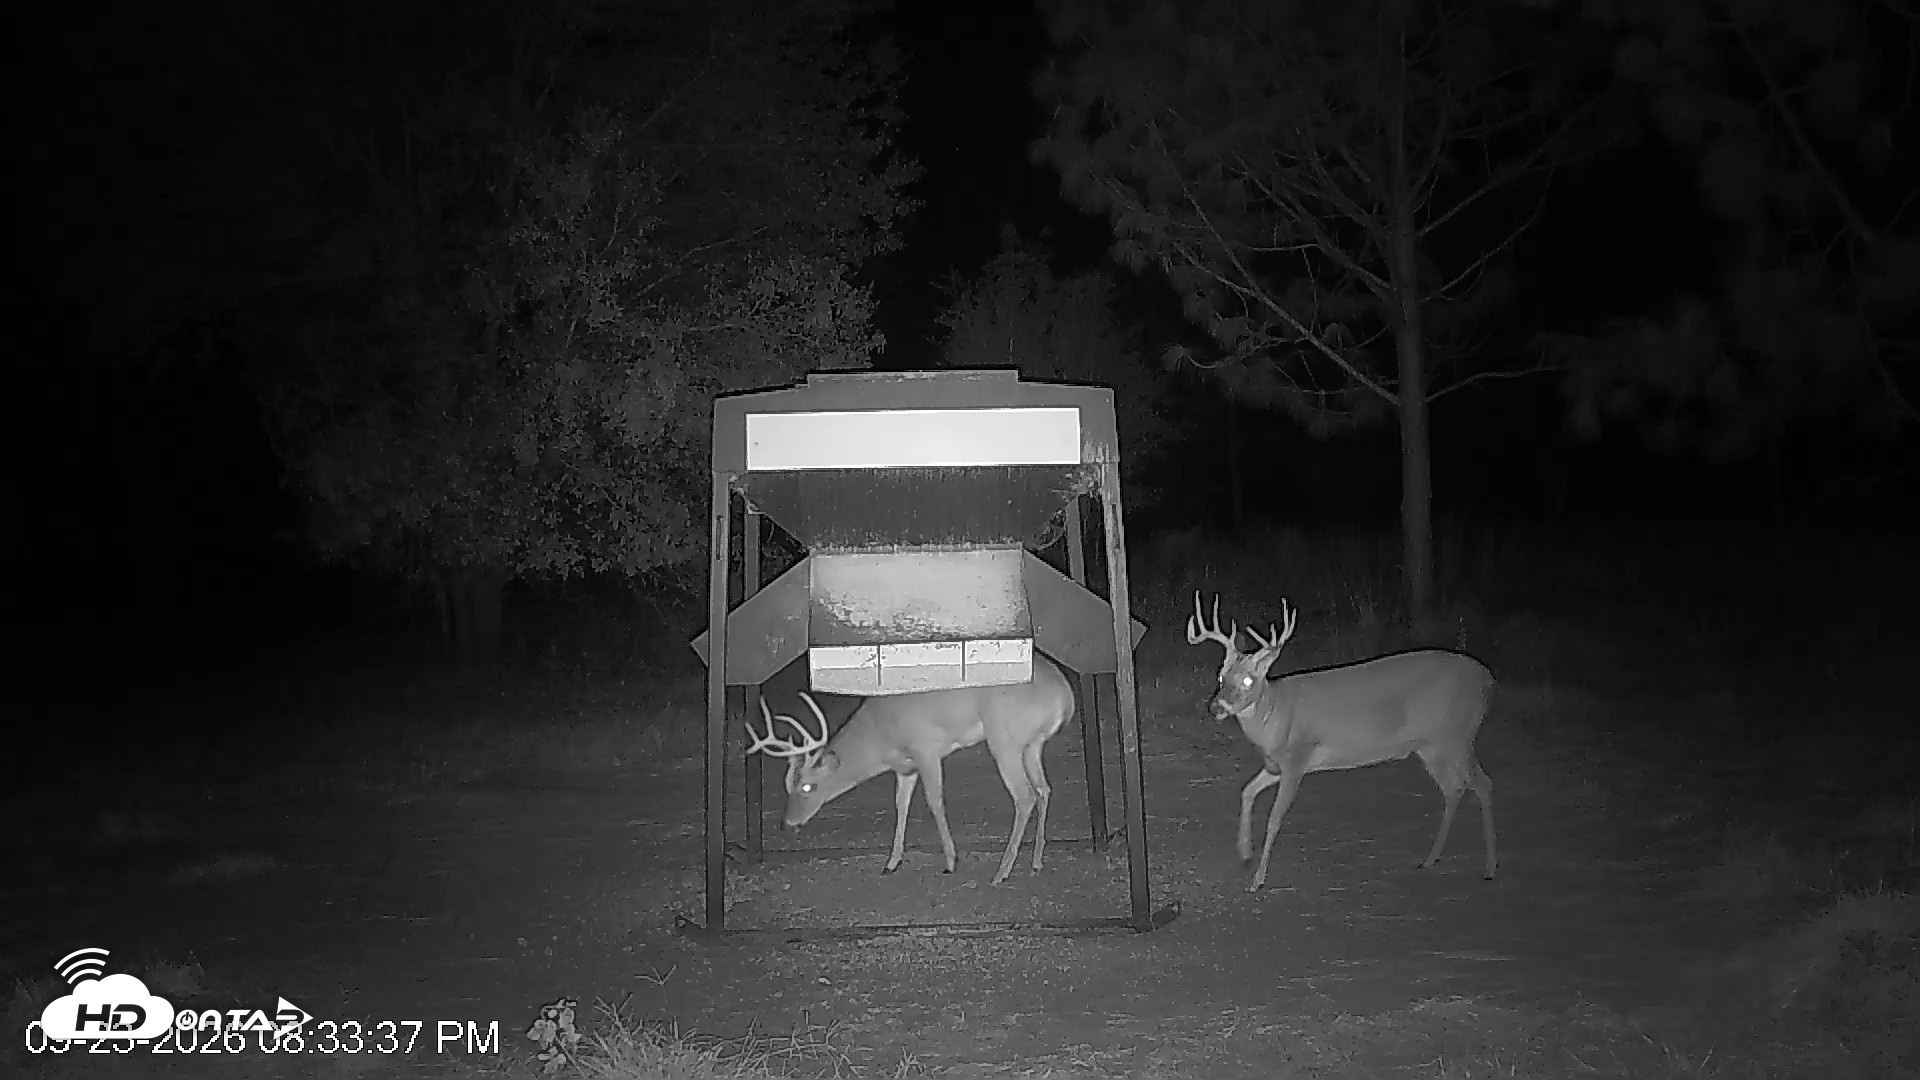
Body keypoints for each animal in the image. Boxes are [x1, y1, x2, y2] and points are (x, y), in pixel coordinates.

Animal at [743, 652, 1074, 885]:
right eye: (787, 786)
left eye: (808, 786)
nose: (787, 824)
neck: (879, 737)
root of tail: (1064, 697)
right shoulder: (905, 767)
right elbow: (900, 805)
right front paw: (892, 862)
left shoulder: (926, 748)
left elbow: (935, 802)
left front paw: (951, 862)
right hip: (1031, 745)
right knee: (1044, 790)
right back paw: (1036, 862)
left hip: (1004, 740)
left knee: (1025, 796)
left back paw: (1001, 873)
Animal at [1186, 591, 1497, 892]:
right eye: (1221, 676)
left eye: (1248, 681)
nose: (1216, 707)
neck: (1275, 717)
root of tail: (1488, 678)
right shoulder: (1275, 765)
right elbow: (1247, 792)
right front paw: (1244, 854)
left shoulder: (1297, 760)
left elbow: (1274, 818)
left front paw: (1257, 881)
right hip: (1430, 745)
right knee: (1454, 788)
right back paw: (1430, 859)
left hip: (1458, 735)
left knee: (1482, 785)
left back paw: (1489, 868)